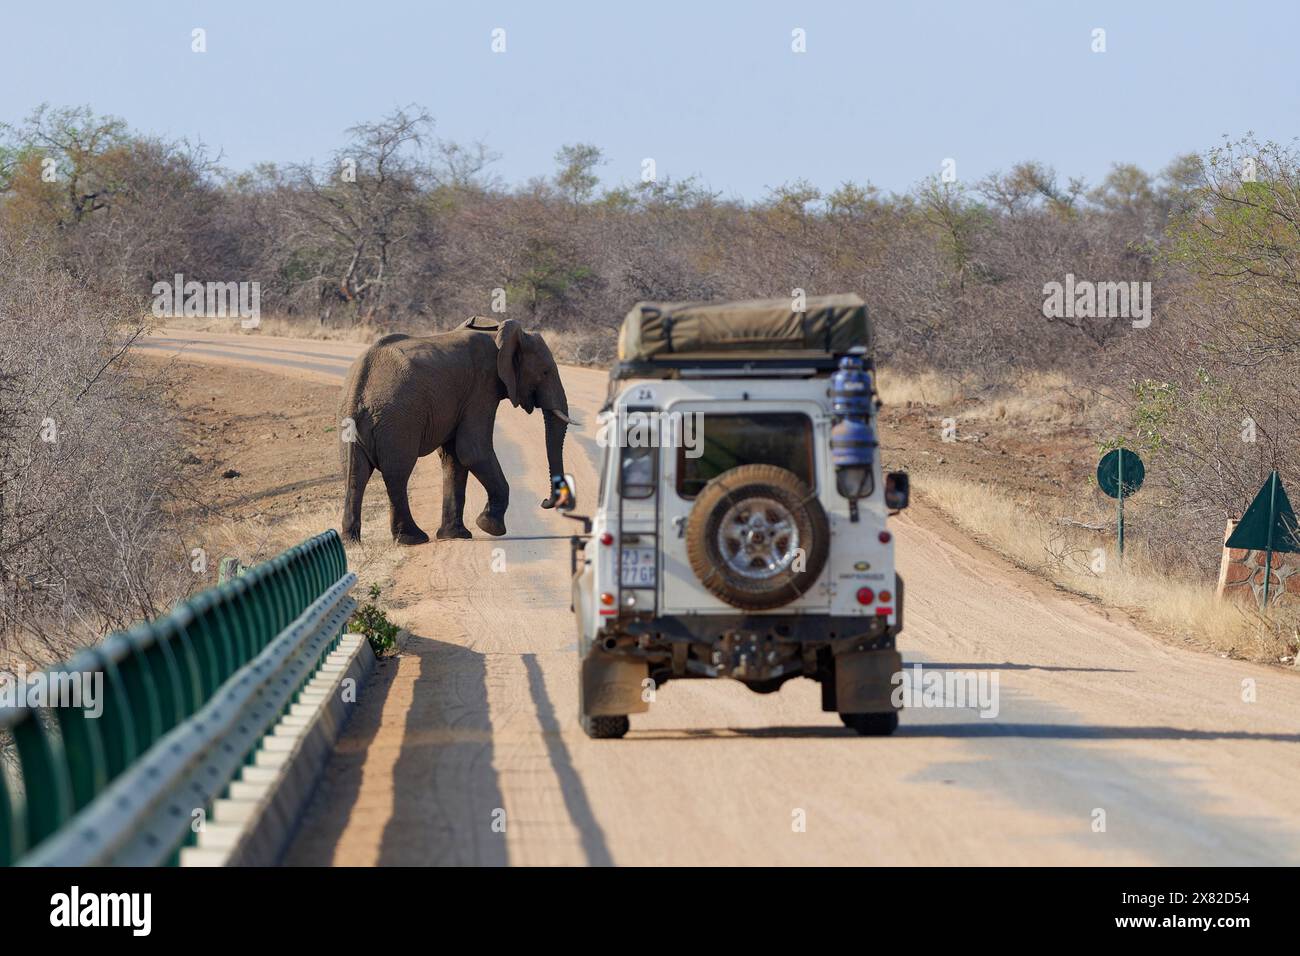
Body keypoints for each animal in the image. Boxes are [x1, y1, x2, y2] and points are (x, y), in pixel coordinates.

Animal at [340, 317, 569, 546]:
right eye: (545, 372)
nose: (544, 501)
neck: (499, 333)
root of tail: (360, 383)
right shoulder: (482, 387)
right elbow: (473, 451)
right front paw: (489, 526)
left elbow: (454, 458)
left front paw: (456, 535)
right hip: (398, 420)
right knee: (396, 473)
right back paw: (413, 538)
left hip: (353, 421)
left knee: (355, 474)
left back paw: (351, 541)